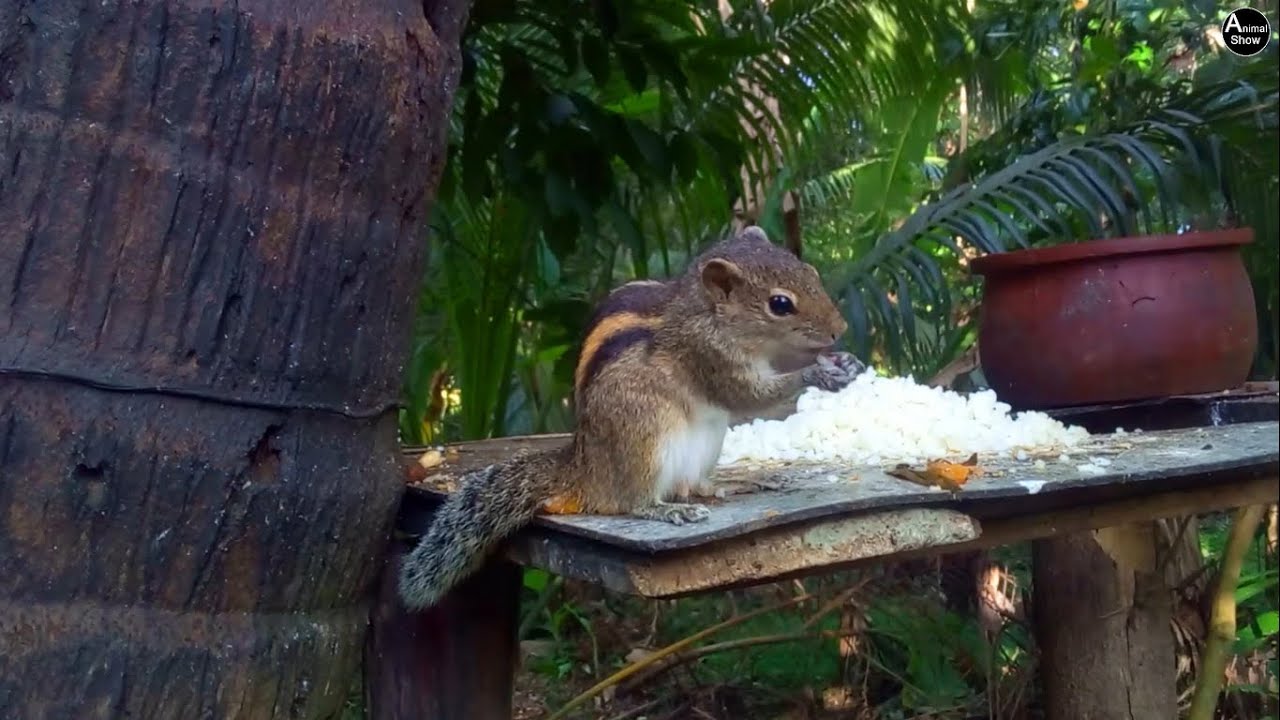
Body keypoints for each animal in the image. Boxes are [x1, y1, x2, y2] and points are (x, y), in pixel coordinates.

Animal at [399, 226, 866, 609]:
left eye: (810, 272)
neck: (707, 315)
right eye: (780, 304)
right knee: (630, 501)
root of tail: (583, 471)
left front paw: (843, 361)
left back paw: (735, 484)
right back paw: (663, 511)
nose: (840, 329)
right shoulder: (707, 356)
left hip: (705, 444)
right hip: (644, 438)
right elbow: (749, 395)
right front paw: (818, 372)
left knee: (695, 486)